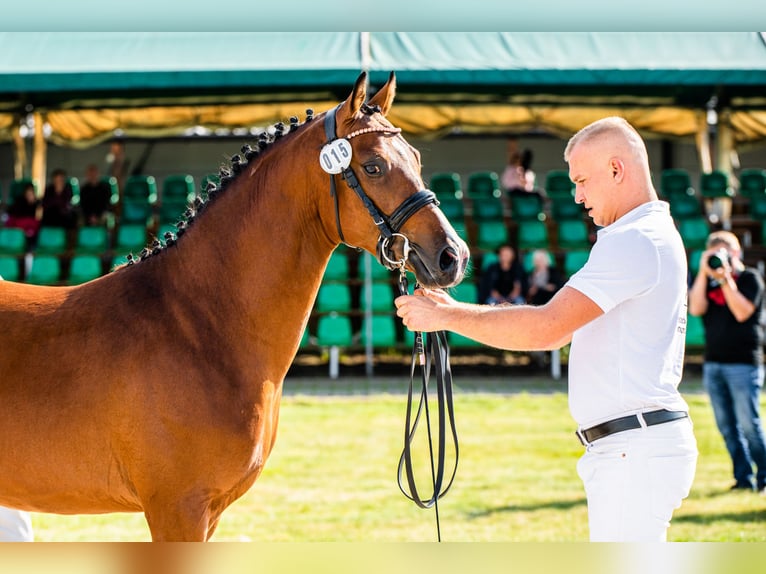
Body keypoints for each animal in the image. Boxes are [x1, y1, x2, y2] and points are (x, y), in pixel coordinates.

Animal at [0, 71, 468, 540]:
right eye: (373, 166)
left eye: (415, 157)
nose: (453, 256)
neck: (196, 325)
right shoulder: (178, 510)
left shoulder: (209, 513)